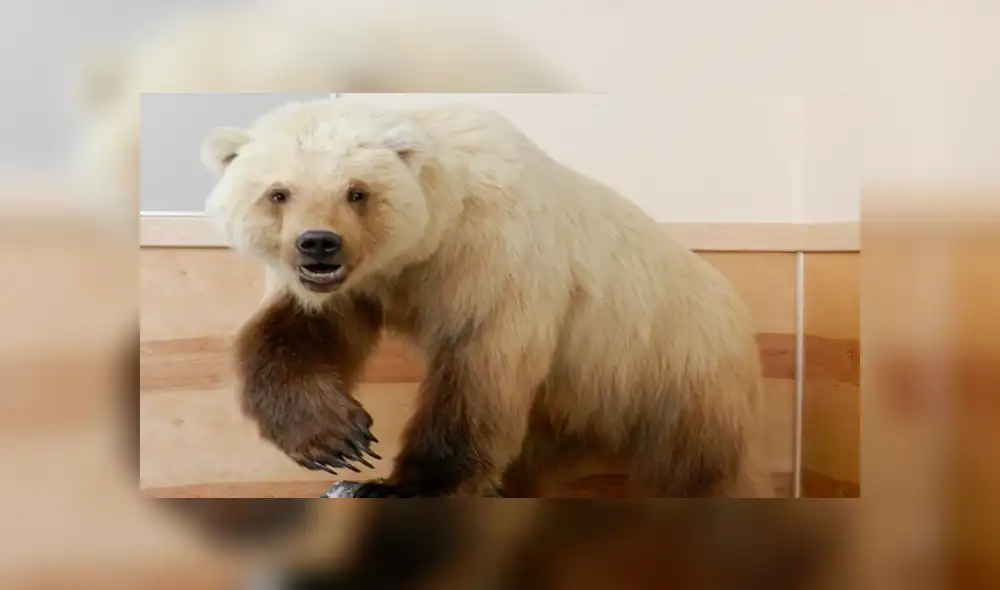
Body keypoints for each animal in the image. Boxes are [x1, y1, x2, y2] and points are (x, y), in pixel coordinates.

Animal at [201, 97, 774, 498]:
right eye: (278, 193)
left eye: (357, 191)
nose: (319, 244)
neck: (429, 239)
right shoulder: (356, 286)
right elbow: (295, 331)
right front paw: (337, 441)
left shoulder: (493, 257)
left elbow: (481, 365)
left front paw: (403, 483)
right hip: (577, 395)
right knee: (540, 451)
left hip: (677, 372)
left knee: (702, 467)